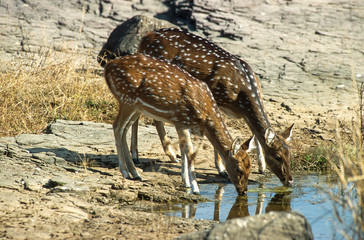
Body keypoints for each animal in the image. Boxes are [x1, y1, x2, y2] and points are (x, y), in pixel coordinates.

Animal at [104, 53, 255, 194]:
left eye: (250, 167)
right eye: (239, 169)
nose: (243, 191)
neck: (204, 113)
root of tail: (107, 67)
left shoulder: (183, 123)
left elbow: (183, 150)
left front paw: (186, 182)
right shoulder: (181, 120)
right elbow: (190, 151)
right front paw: (195, 188)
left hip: (136, 106)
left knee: (124, 130)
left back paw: (135, 173)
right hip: (127, 99)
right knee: (117, 127)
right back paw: (125, 172)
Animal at [132, 27, 294, 186]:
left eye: (289, 154)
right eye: (277, 156)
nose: (289, 180)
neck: (243, 95)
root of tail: (144, 38)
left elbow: (256, 135)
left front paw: (262, 168)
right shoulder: (216, 99)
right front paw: (221, 170)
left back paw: (169, 156)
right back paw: (140, 156)